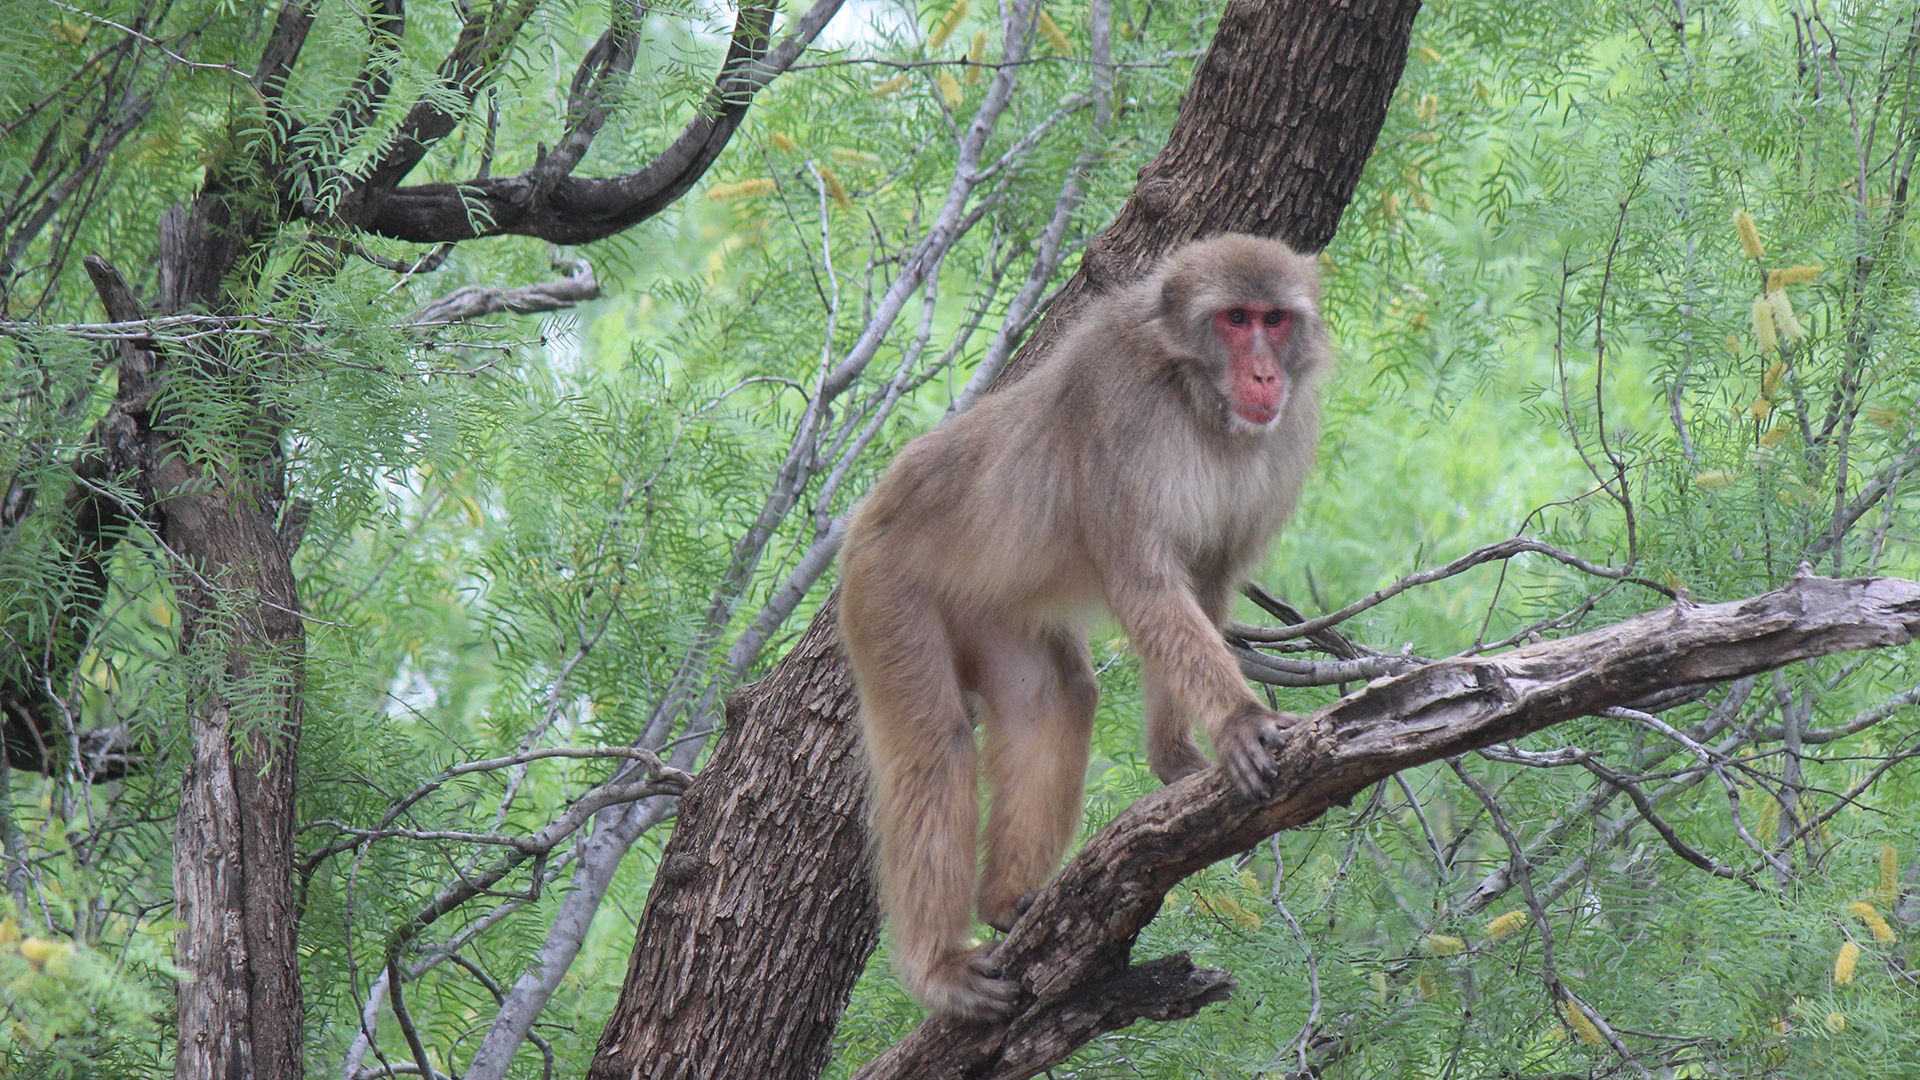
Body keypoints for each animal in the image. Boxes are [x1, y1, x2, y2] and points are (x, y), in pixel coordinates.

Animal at [840, 233, 1336, 1014]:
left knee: (1056, 699)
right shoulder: (1121, 415)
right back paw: (938, 967)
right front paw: (1240, 720)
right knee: (934, 746)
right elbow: (1144, 585)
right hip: (885, 592)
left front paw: (1174, 758)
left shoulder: (1283, 440)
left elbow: (1203, 580)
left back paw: (1007, 899)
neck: (1196, 402)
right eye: (1234, 319)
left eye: (1275, 319)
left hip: (992, 612)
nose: (1263, 373)